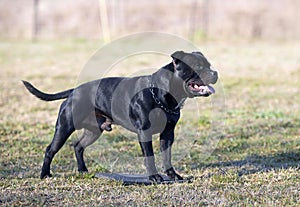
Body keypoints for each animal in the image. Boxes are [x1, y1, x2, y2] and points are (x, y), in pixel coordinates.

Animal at [22, 51, 217, 182]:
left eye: (209, 65)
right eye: (198, 67)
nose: (214, 73)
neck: (161, 92)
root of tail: (74, 91)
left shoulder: (168, 133)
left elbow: (166, 156)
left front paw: (173, 175)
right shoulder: (144, 132)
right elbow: (150, 156)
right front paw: (154, 177)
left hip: (94, 131)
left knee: (78, 146)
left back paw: (83, 170)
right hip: (64, 127)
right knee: (50, 149)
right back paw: (45, 174)